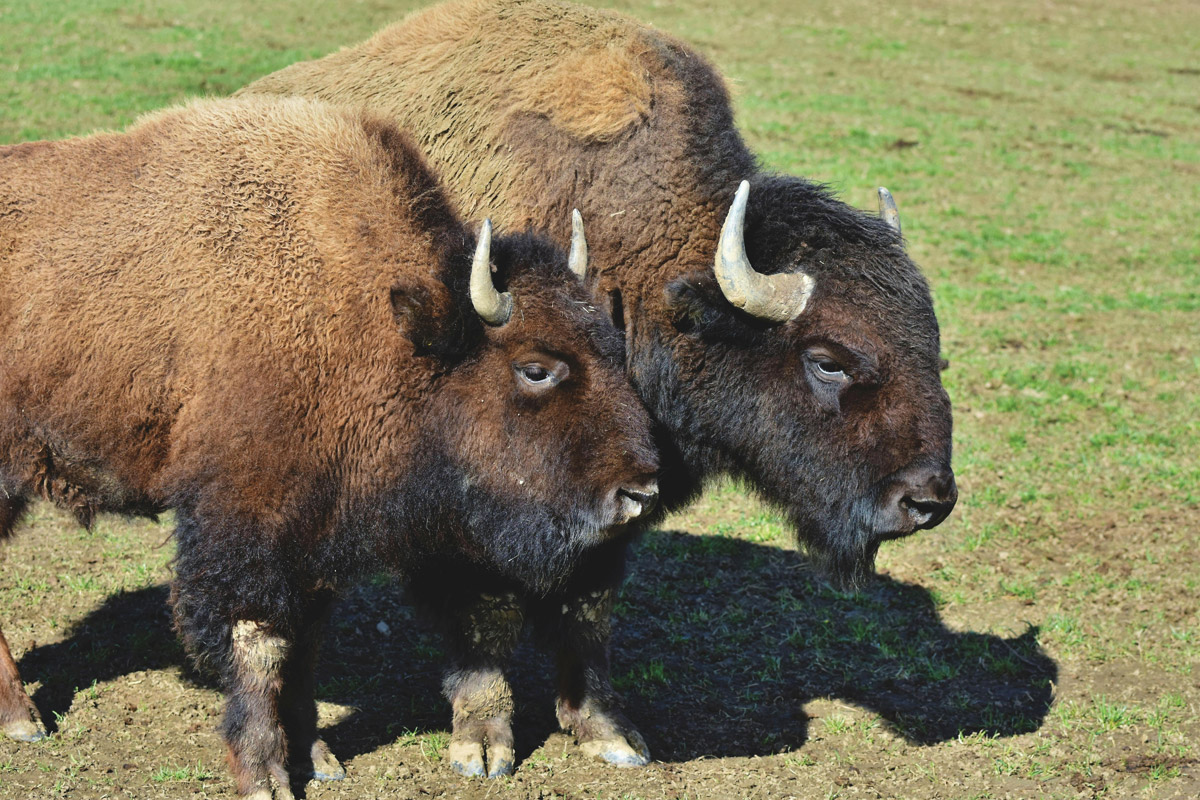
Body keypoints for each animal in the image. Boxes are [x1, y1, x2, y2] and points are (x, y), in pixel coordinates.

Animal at [0, 97, 657, 796]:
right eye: (535, 368)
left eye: (613, 346)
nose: (641, 489)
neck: (376, 322)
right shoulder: (248, 527)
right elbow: (260, 646)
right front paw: (265, 774)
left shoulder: (317, 538)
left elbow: (305, 648)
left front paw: (317, 757)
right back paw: (24, 721)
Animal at [241, 0, 955, 777]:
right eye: (827, 360)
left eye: (932, 344)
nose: (927, 500)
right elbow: (486, 617)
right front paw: (483, 746)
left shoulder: (620, 499)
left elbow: (588, 609)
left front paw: (610, 733)